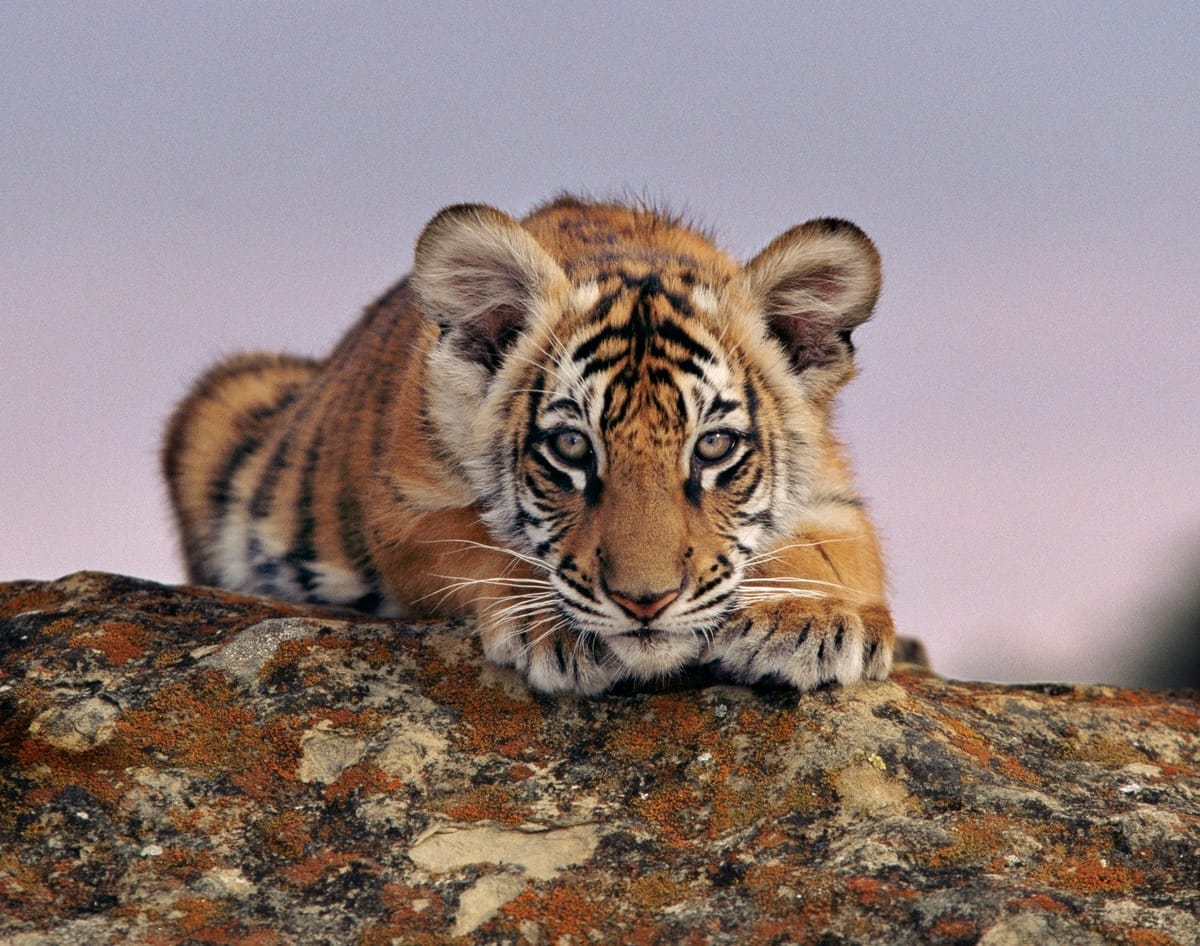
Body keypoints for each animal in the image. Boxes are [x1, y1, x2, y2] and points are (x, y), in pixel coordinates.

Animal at [163, 195, 895, 695]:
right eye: (572, 447)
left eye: (712, 448)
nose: (645, 603)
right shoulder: (406, 509)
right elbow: (480, 541)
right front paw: (557, 626)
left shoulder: (834, 497)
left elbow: (830, 553)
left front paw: (806, 617)